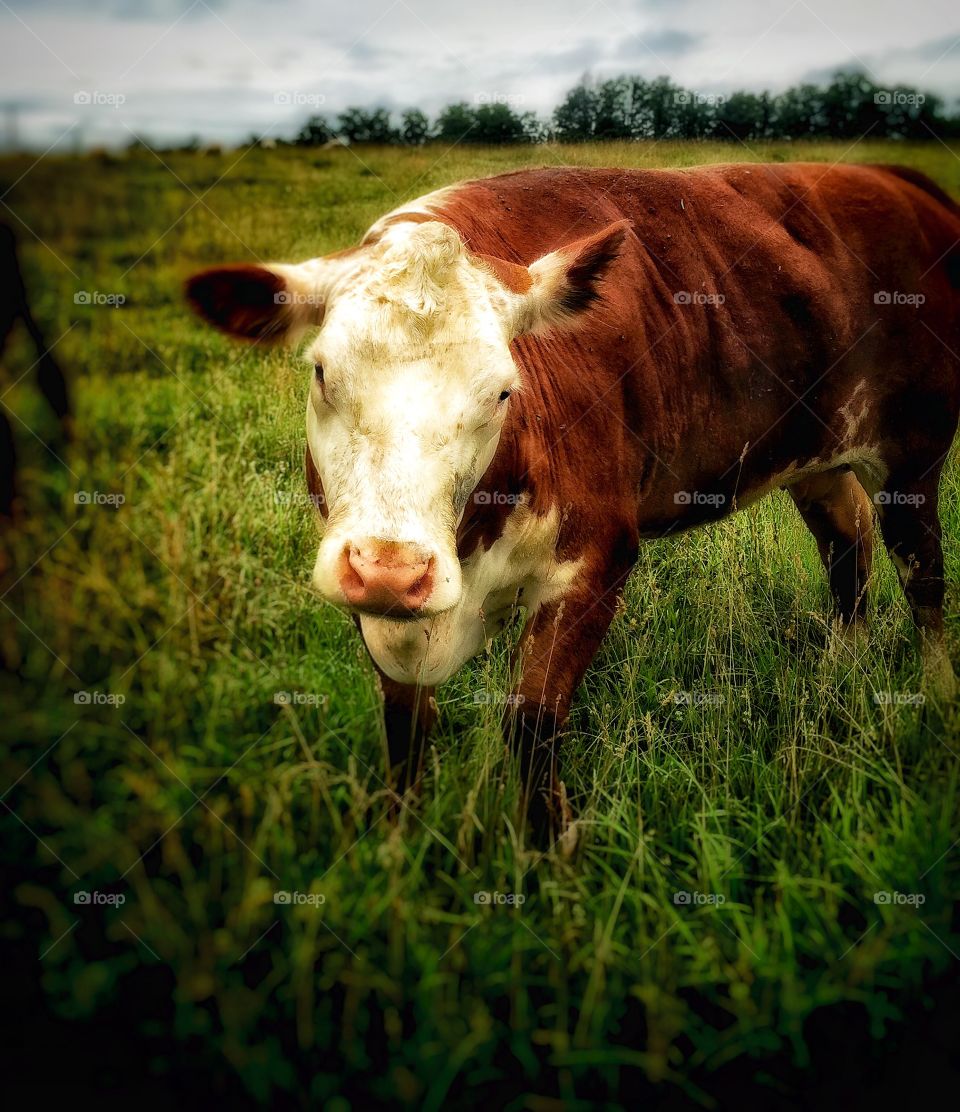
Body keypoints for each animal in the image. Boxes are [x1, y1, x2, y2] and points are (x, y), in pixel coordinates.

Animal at [185, 161, 960, 845]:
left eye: (503, 390)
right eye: (321, 371)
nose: (391, 570)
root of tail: (890, 179)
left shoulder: (595, 561)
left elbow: (531, 726)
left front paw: (548, 857)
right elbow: (405, 726)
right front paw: (395, 846)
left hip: (915, 454)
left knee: (921, 573)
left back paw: (936, 697)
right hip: (815, 456)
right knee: (847, 542)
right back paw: (840, 672)